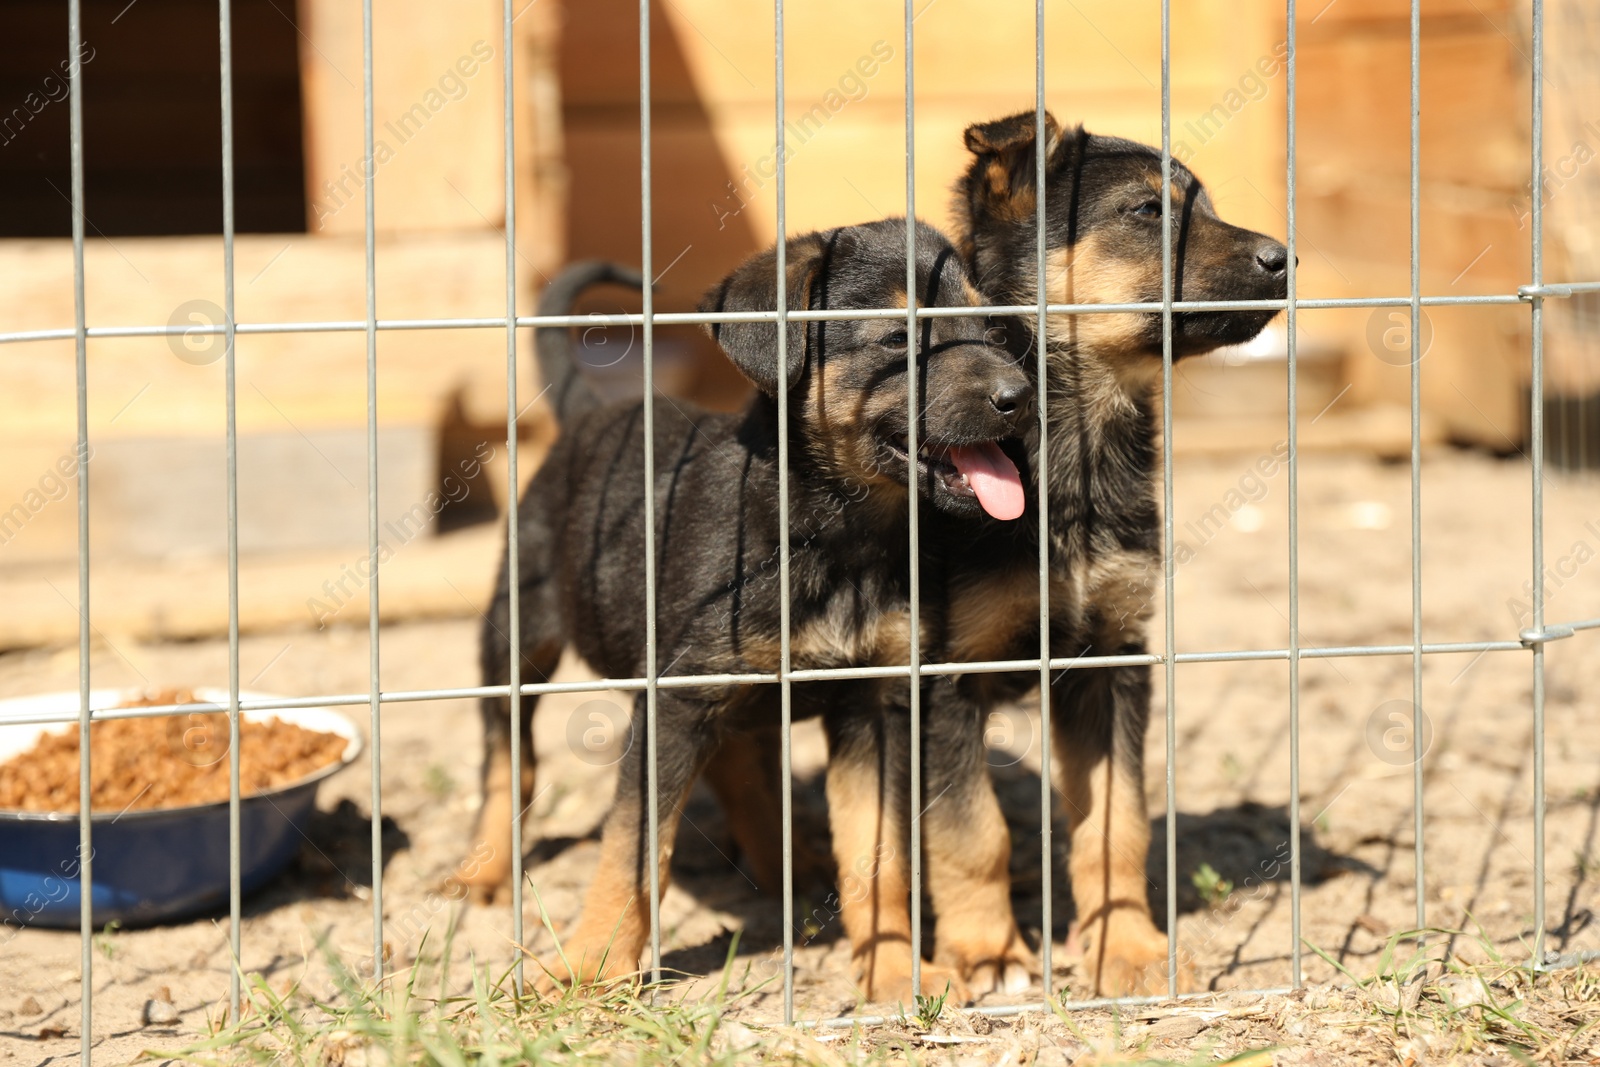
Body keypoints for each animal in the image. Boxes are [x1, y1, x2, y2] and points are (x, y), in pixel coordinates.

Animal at [464, 217, 1036, 1004]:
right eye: (900, 338)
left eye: (989, 325)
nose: (1022, 396)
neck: (832, 534)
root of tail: (591, 412)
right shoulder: (673, 700)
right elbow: (633, 849)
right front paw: (592, 967)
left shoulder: (874, 704)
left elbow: (880, 856)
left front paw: (892, 971)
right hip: (519, 630)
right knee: (506, 756)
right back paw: (485, 870)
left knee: (739, 763)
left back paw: (787, 864)